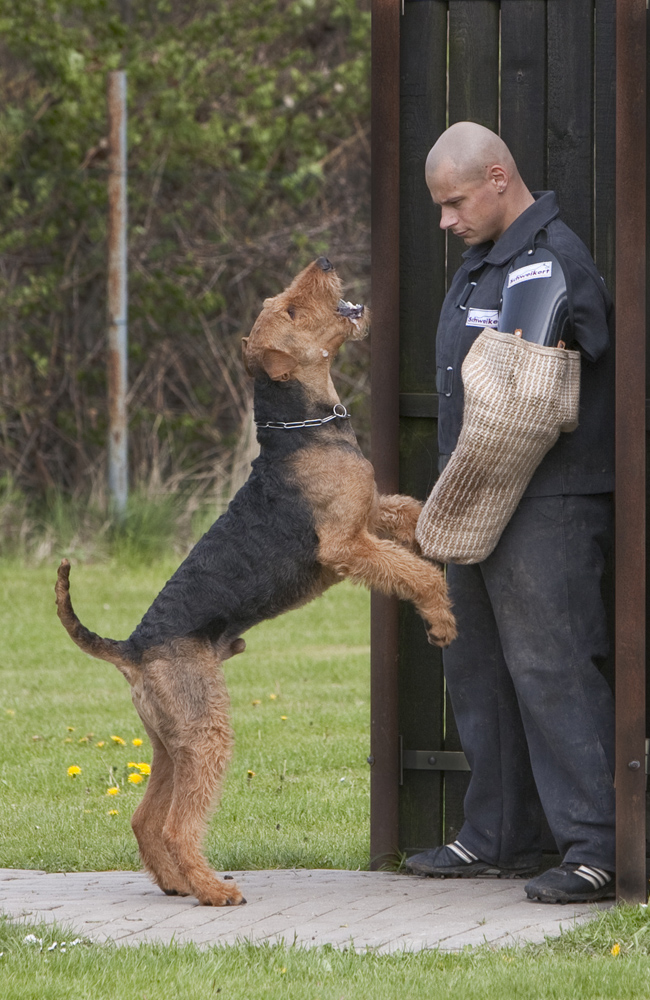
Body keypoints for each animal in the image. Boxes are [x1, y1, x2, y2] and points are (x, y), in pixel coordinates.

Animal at [55, 256, 454, 908]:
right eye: (290, 310)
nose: (324, 262)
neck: (300, 425)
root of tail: (132, 648)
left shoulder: (372, 515)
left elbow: (413, 516)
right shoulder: (347, 545)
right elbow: (411, 570)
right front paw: (442, 618)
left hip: (171, 740)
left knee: (144, 819)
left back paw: (177, 883)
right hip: (206, 732)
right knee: (176, 823)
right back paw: (216, 891)